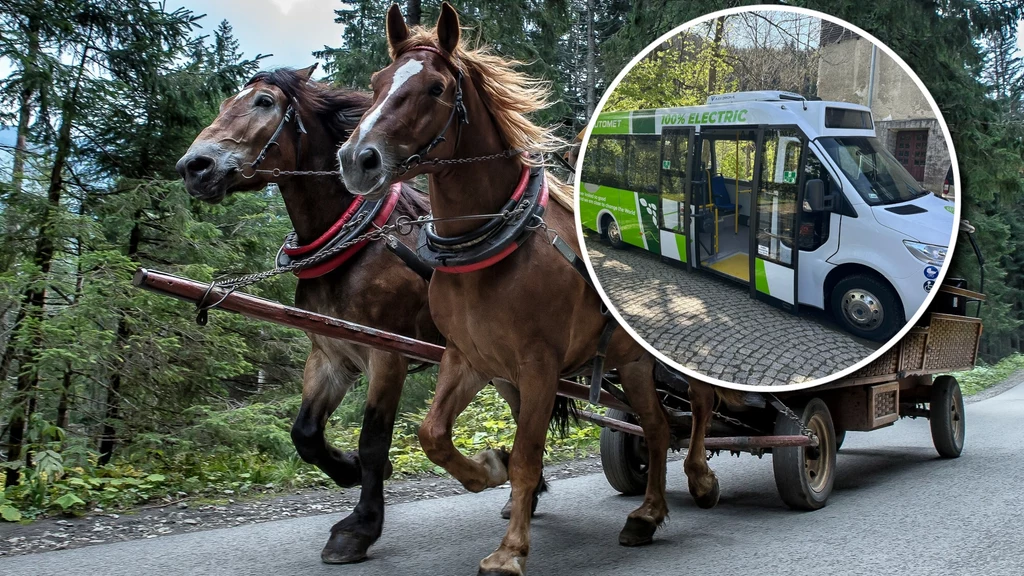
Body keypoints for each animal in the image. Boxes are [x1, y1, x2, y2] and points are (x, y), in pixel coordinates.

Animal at [337, 5, 745, 573]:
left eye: (436, 88)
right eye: (377, 83)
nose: (357, 159)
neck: (492, 250)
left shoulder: (539, 366)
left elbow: (529, 457)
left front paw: (510, 549)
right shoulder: (469, 358)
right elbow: (433, 435)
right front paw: (488, 467)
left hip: (663, 362)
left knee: (701, 404)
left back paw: (701, 478)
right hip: (631, 363)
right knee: (659, 426)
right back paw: (646, 515)